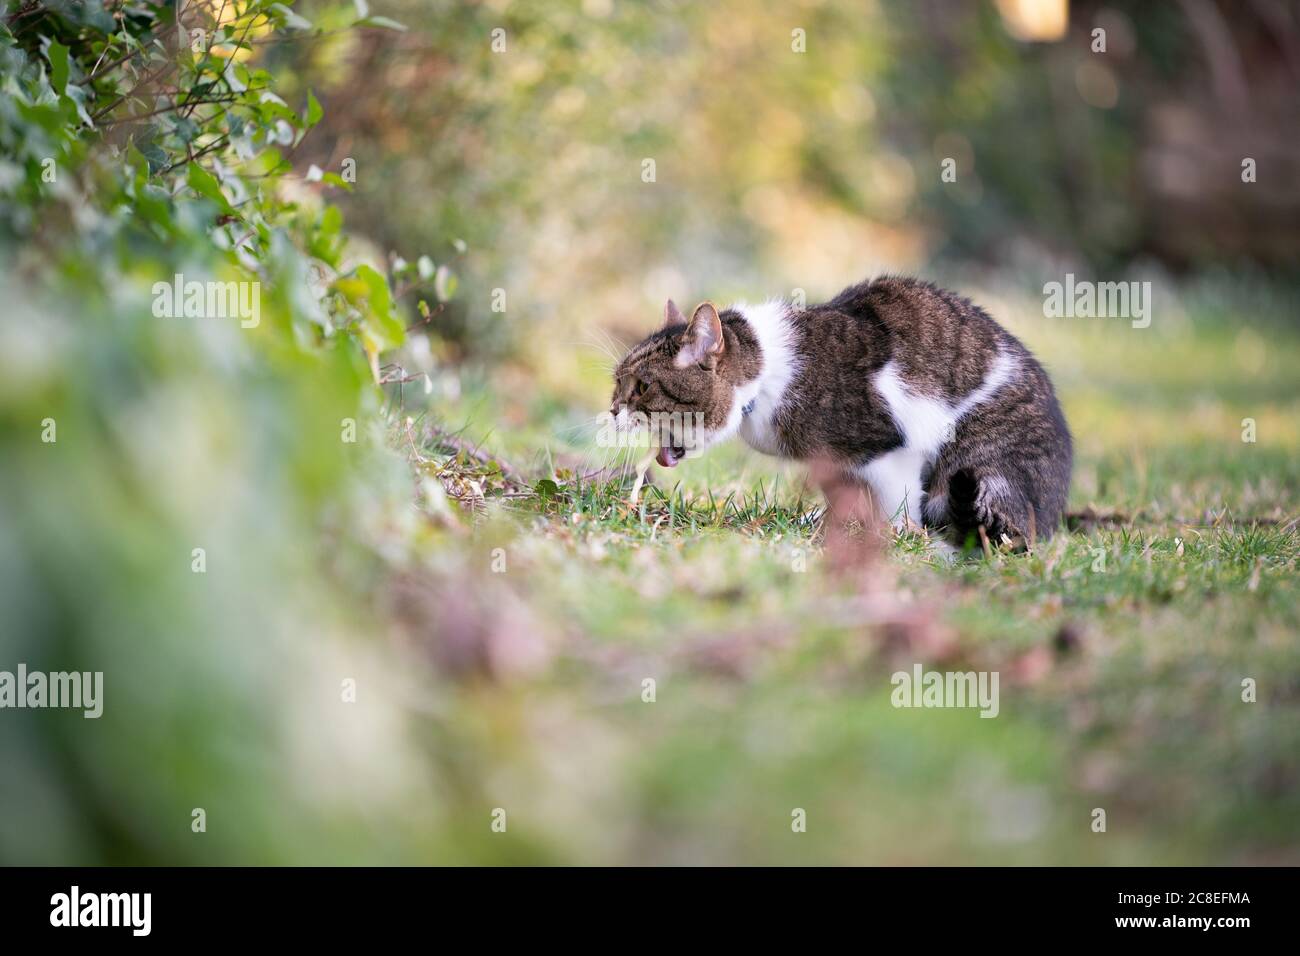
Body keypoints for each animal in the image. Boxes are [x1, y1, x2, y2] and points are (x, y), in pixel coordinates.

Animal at [613, 274, 1071, 546]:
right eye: (617, 382)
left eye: (642, 387)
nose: (613, 409)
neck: (767, 376)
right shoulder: (836, 465)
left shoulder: (891, 452)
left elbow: (898, 507)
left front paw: (893, 537)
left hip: (979, 463)